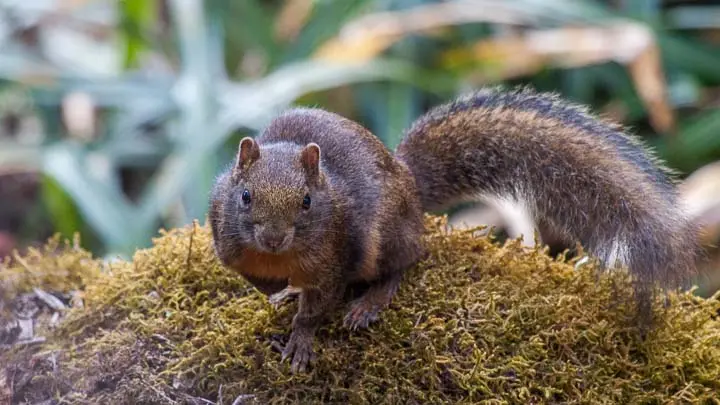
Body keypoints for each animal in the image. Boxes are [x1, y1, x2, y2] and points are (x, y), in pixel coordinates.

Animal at [208, 86, 700, 373]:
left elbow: (317, 307)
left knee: (405, 261)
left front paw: (301, 339)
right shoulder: (226, 238)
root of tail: (408, 183)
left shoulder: (335, 256)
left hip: (384, 238)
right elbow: (252, 276)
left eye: (307, 202)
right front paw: (277, 291)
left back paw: (370, 302)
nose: (274, 238)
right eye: (245, 196)